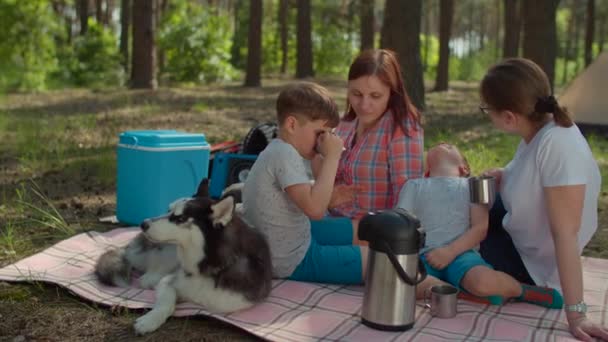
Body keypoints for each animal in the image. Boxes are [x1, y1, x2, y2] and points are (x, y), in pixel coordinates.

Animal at [94, 179, 270, 334]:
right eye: (168, 210)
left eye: (180, 218)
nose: (143, 224)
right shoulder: (169, 282)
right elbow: (166, 301)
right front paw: (150, 320)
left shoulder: (231, 302)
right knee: (146, 278)